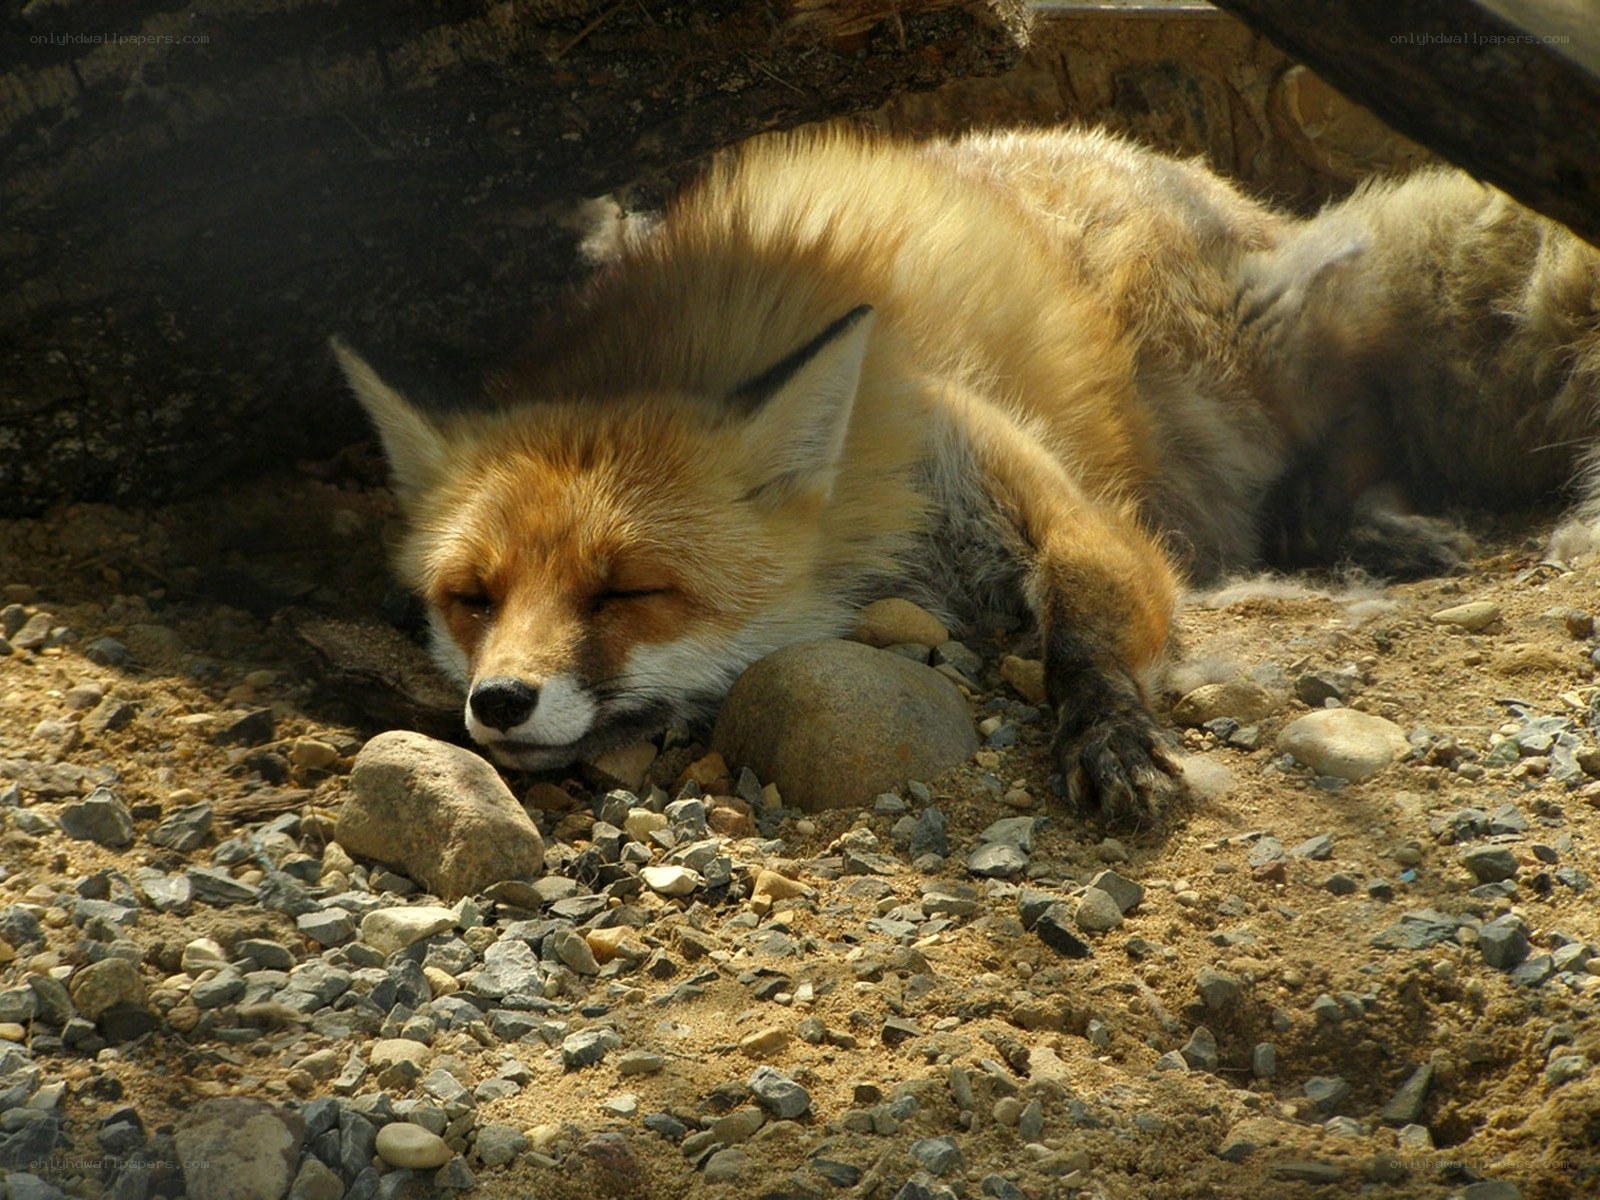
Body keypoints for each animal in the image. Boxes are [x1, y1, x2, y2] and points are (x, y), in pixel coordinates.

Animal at [333, 125, 1600, 824]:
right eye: (471, 599)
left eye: (626, 591)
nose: (498, 702)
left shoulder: (1024, 480)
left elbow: (1090, 607)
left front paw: (1109, 735)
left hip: (1251, 362)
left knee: (1361, 420)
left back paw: (1358, 524)